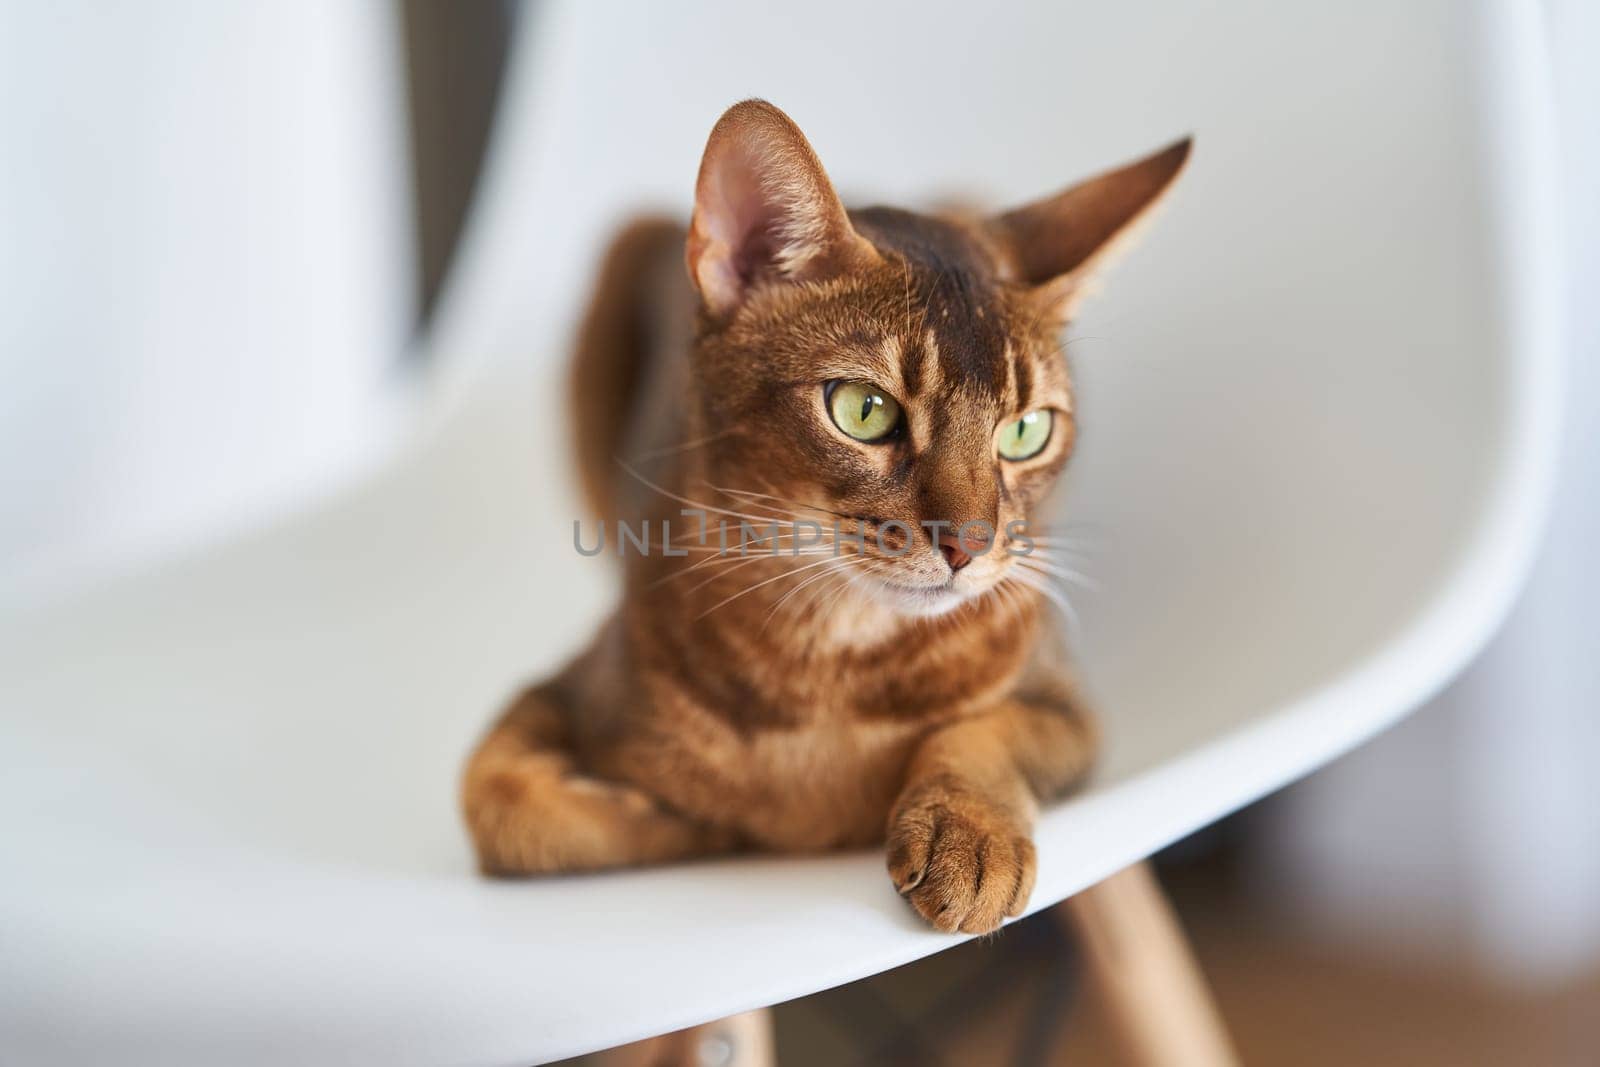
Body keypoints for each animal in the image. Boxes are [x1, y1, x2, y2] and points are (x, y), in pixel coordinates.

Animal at [464, 99, 1190, 934]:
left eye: (1027, 431)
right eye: (863, 411)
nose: (969, 545)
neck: (833, 663)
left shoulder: (1065, 701)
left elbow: (989, 727)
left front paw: (969, 833)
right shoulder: (567, 690)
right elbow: (499, 807)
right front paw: (691, 819)